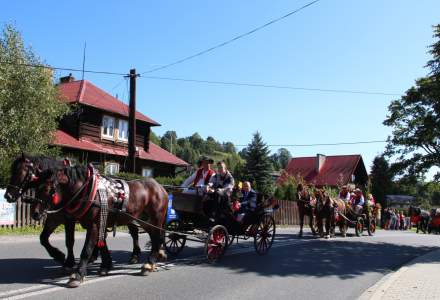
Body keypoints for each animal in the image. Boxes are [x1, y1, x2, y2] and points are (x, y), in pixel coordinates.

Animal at [5, 155, 143, 270]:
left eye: (21, 173)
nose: (8, 196)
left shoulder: (69, 219)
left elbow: (69, 240)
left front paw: (67, 261)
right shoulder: (54, 218)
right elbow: (43, 238)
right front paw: (59, 256)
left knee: (134, 233)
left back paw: (135, 256)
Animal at [32, 165, 168, 288]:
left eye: (46, 188)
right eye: (34, 187)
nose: (35, 214)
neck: (86, 191)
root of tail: (160, 187)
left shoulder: (92, 224)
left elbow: (86, 250)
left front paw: (77, 274)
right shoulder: (92, 223)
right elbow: (99, 243)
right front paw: (105, 265)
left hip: (155, 219)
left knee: (156, 238)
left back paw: (149, 263)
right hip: (141, 220)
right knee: (151, 236)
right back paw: (153, 258)